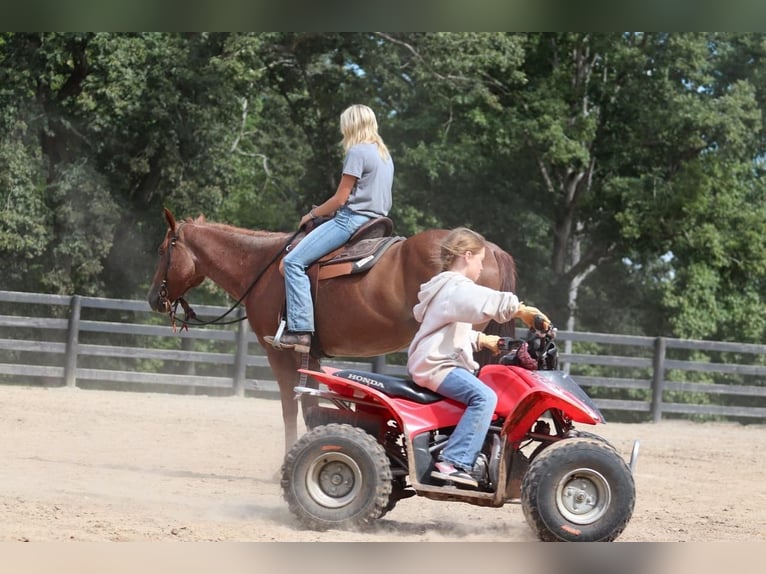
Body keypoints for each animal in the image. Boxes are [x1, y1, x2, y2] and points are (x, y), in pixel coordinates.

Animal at [147, 209, 520, 456]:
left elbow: (290, 406)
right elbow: (311, 407)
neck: (261, 267)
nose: (153, 299)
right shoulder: (311, 353)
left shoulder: (280, 352)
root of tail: (490, 248)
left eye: (163, 250)